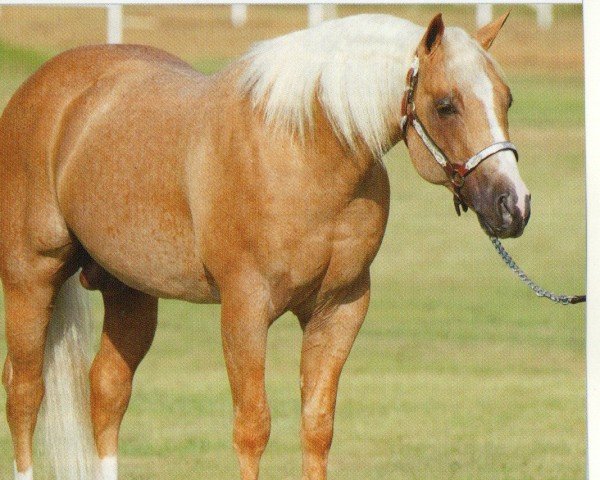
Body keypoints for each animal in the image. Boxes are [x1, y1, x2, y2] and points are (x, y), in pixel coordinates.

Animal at [1, 11, 528, 480]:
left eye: (506, 100)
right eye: (445, 104)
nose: (514, 206)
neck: (303, 149)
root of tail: (40, 89)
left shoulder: (339, 309)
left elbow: (317, 428)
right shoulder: (245, 309)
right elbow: (252, 428)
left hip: (129, 290)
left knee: (107, 391)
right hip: (30, 278)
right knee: (24, 392)